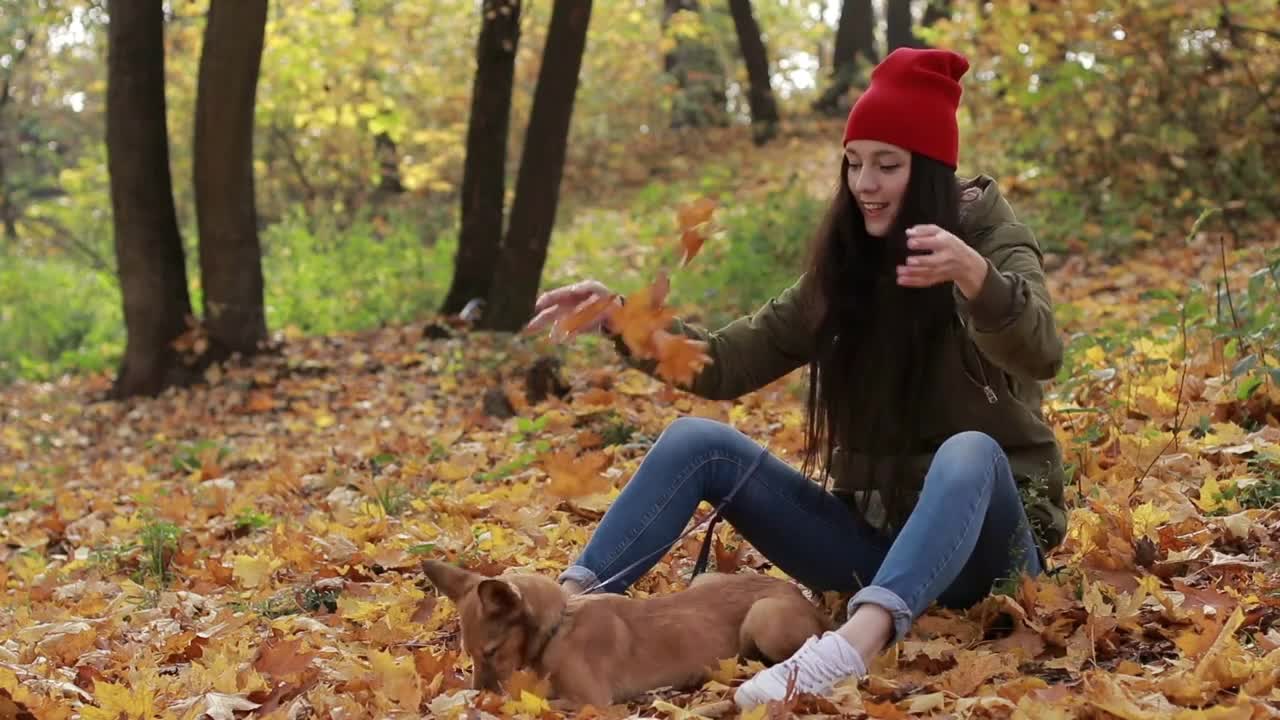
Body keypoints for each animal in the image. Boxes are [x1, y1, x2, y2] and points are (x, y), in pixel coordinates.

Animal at [424, 556, 834, 707]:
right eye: (469, 654)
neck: (560, 627)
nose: (480, 694)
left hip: (763, 618)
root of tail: (808, 602)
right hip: (704, 579)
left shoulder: (592, 702)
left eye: (492, 651)